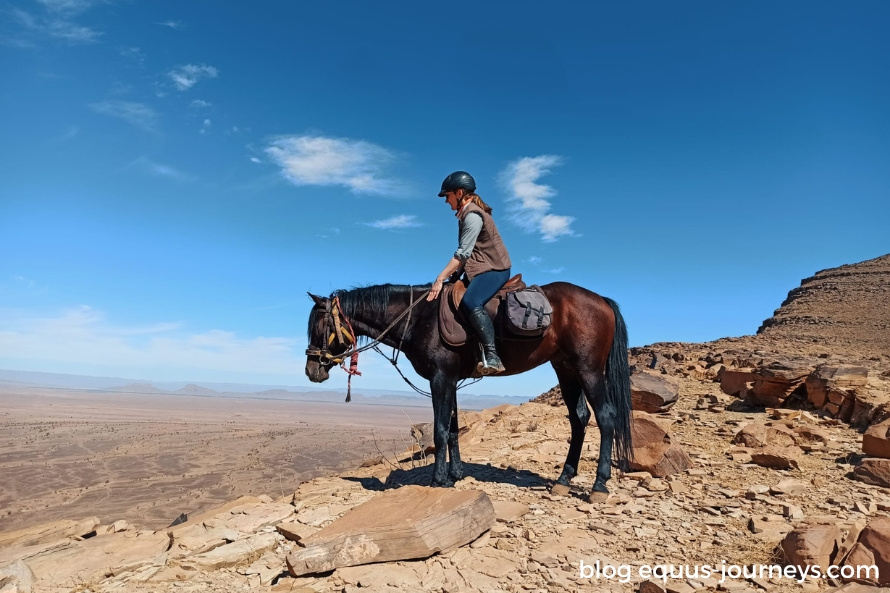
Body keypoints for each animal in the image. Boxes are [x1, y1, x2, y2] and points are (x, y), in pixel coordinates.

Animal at [306, 282, 632, 500]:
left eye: (318, 327)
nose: (312, 371)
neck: (419, 317)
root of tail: (602, 300)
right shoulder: (450, 379)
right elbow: (452, 429)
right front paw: (455, 474)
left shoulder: (440, 377)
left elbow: (439, 429)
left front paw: (439, 479)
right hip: (565, 370)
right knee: (579, 419)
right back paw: (563, 479)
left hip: (589, 370)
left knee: (606, 417)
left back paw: (599, 485)